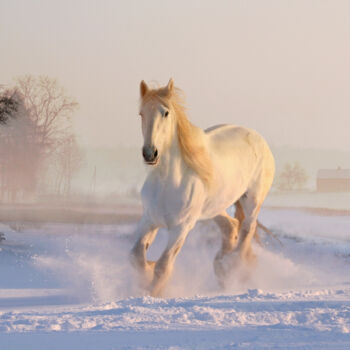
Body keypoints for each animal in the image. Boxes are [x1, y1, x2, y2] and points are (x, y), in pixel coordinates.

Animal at [130, 78, 274, 296]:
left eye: (165, 112)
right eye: (141, 113)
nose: (150, 153)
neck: (167, 183)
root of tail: (258, 138)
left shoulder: (181, 228)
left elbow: (163, 266)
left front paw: (153, 292)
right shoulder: (149, 220)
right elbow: (137, 256)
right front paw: (146, 275)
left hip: (252, 200)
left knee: (247, 230)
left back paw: (233, 268)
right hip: (214, 207)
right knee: (231, 226)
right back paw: (222, 268)